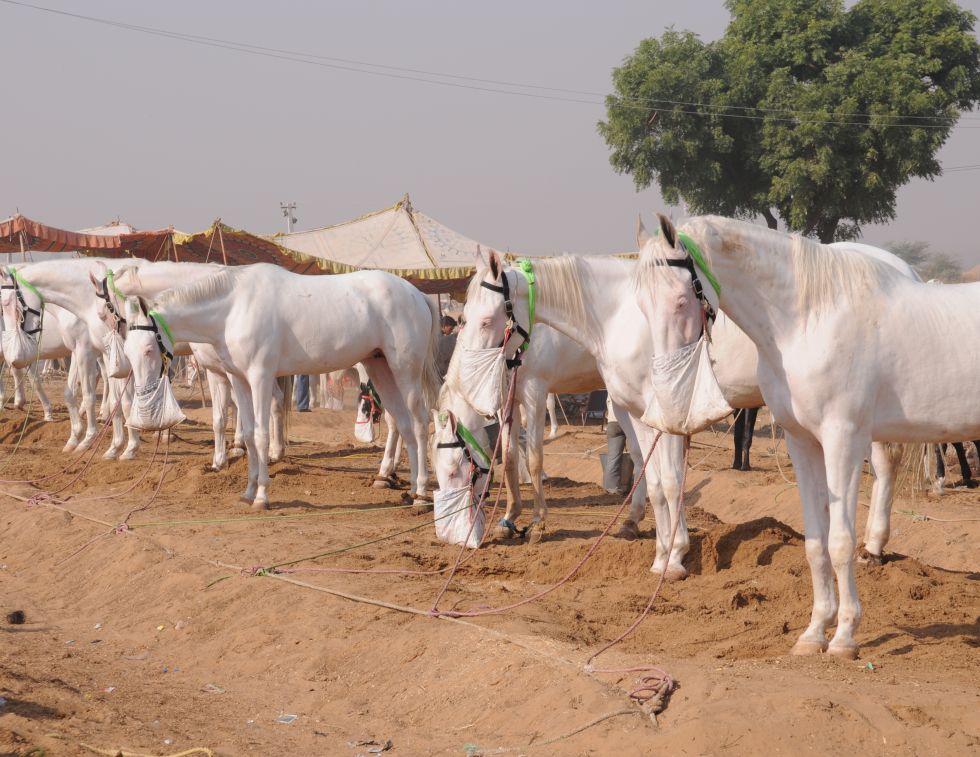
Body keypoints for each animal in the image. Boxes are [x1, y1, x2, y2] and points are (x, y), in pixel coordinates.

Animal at [120, 264, 441, 509]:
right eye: (129, 349)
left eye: (148, 349)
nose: (144, 396)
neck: (234, 308)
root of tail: (416, 294)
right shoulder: (239, 379)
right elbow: (249, 435)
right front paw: (248, 492)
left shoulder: (260, 376)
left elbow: (261, 435)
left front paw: (262, 496)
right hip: (379, 367)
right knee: (403, 424)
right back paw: (408, 488)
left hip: (405, 370)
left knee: (419, 422)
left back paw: (422, 494)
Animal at [637, 213, 980, 658]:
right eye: (641, 305)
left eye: (681, 300)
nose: (665, 391)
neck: (807, 321)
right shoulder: (802, 442)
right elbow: (815, 544)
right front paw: (815, 632)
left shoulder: (843, 441)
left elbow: (840, 541)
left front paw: (845, 637)